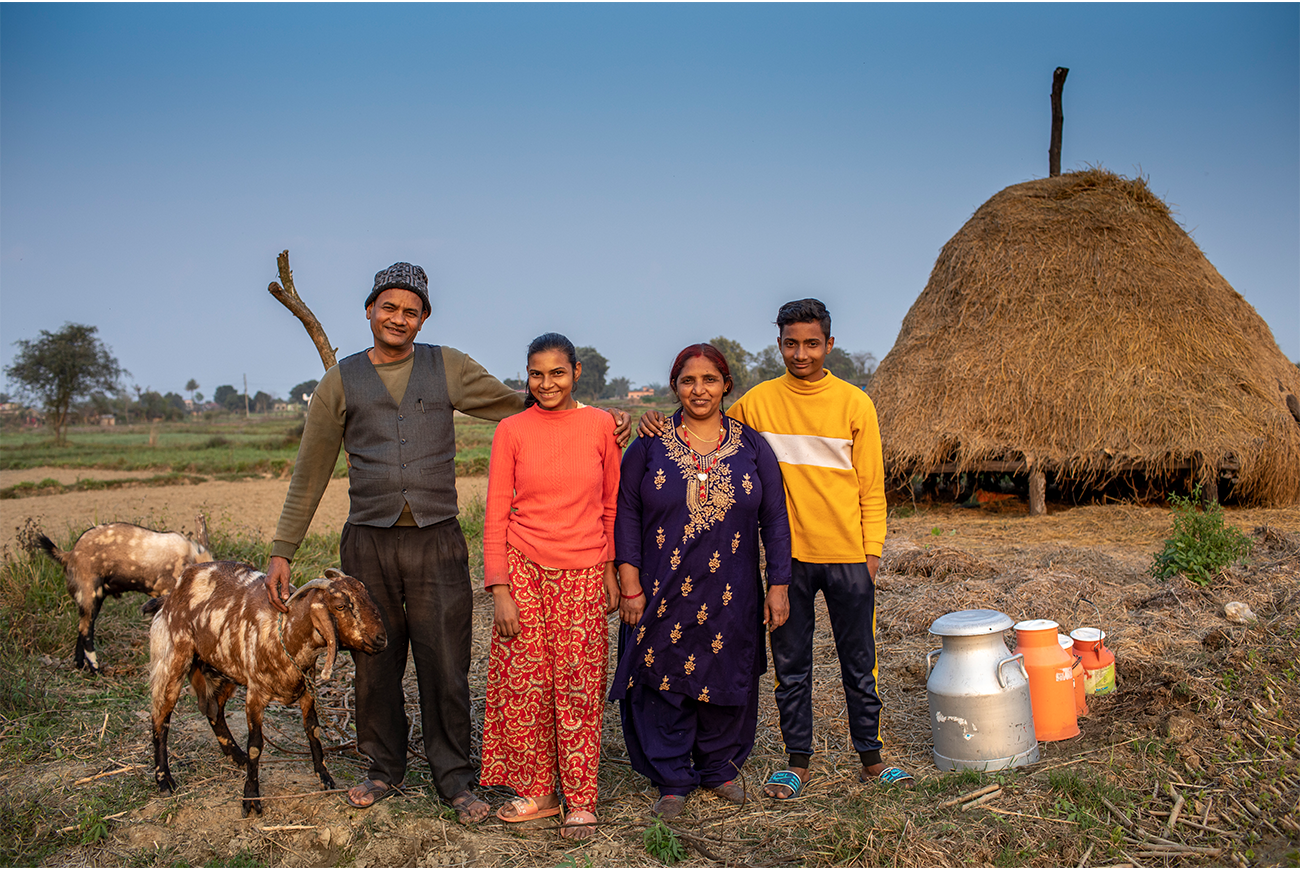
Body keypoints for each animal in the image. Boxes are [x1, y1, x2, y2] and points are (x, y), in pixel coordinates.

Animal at [34, 522, 213, 671]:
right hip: (90, 595)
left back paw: (80, 665)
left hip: (94, 599)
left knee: (83, 629)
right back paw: (95, 668)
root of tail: (70, 554)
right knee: (86, 631)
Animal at [148, 559, 384, 816]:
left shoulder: (307, 690)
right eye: (340, 606)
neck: (286, 633)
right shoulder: (255, 695)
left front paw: (325, 778)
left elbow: (313, 731)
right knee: (161, 716)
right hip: (173, 658)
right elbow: (255, 745)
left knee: (214, 711)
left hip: (223, 669)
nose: (381, 638)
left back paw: (236, 756)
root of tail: (171, 595)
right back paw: (164, 780)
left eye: (367, 596)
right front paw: (251, 798)